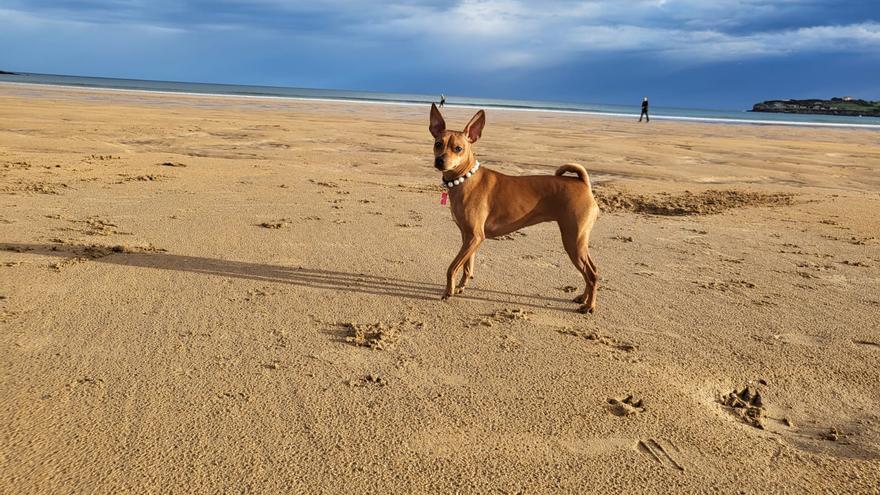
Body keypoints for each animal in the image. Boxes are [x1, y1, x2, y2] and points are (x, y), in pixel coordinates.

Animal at [430, 104, 600, 314]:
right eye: (438, 144)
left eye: (458, 149)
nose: (440, 161)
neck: (465, 179)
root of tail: (583, 183)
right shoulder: (468, 237)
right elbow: (467, 266)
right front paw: (461, 286)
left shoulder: (474, 237)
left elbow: (452, 267)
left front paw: (448, 291)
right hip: (578, 242)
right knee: (590, 272)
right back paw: (583, 298)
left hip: (573, 241)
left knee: (591, 274)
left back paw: (590, 305)